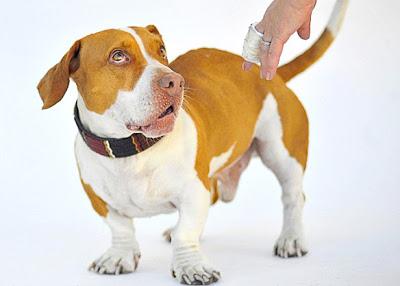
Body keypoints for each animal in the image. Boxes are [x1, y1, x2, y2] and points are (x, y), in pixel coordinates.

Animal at [38, 1, 346, 284]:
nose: (175, 81)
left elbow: (186, 233)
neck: (132, 151)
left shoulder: (194, 190)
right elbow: (120, 227)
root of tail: (274, 76)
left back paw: (291, 238)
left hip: (281, 153)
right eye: (118, 56)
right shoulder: (98, 199)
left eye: (161, 50)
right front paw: (119, 255)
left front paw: (191, 266)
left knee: (293, 196)